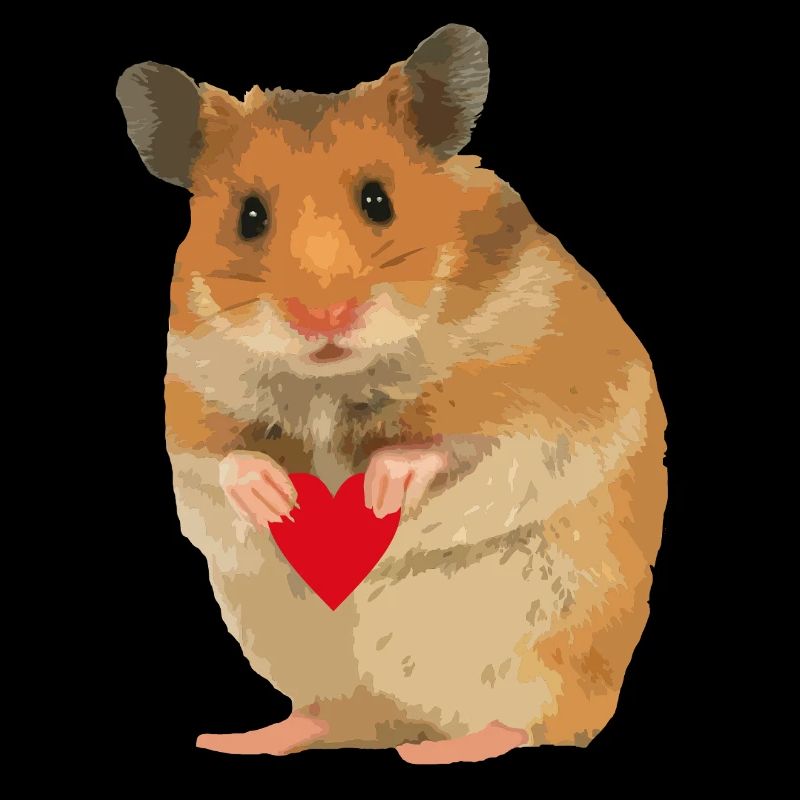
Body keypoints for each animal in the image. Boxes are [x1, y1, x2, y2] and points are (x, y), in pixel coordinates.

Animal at [117, 24, 667, 762]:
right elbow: (224, 461)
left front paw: (378, 490)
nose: (323, 318)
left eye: (379, 200)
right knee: (334, 719)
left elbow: (465, 444)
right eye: (249, 217)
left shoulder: (541, 392)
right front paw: (281, 500)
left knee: (529, 724)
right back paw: (239, 739)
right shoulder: (191, 397)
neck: (333, 378)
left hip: (540, 648)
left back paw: (441, 750)